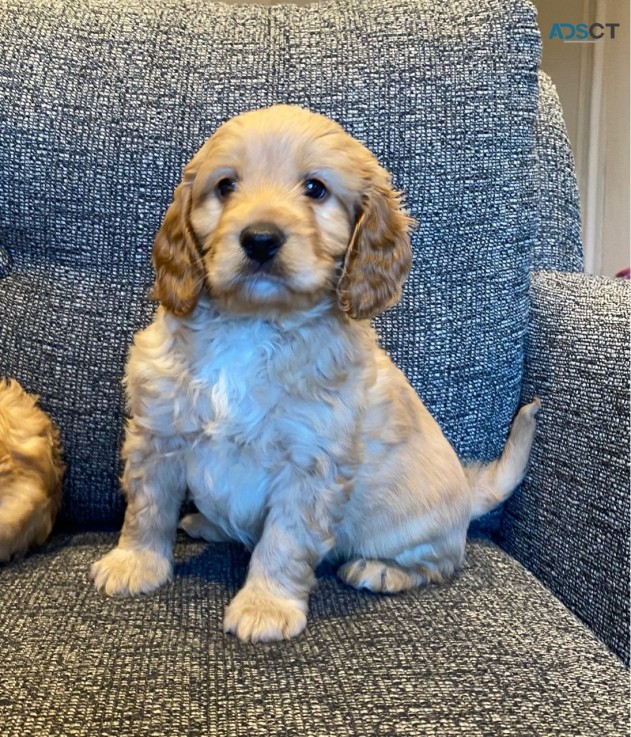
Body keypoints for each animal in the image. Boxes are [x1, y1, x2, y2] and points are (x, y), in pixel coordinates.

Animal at [91, 106, 540, 640]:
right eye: (225, 186)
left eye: (315, 189)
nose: (260, 239)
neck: (253, 324)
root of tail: (472, 495)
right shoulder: (158, 434)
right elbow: (146, 508)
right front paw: (133, 563)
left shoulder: (311, 465)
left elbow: (283, 542)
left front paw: (265, 605)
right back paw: (206, 523)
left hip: (416, 528)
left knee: (442, 561)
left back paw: (382, 570)